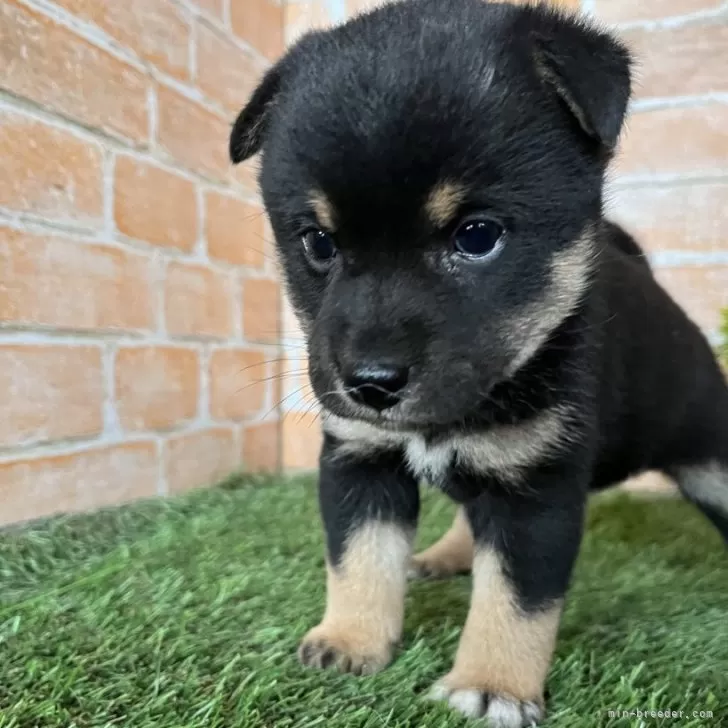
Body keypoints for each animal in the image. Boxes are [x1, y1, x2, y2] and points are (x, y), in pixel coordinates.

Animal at [228, 2, 728, 724]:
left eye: (478, 236)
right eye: (318, 242)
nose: (370, 383)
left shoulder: (536, 492)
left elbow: (515, 603)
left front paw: (492, 685)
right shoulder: (360, 461)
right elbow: (359, 559)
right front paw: (350, 641)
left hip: (712, 457)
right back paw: (443, 557)